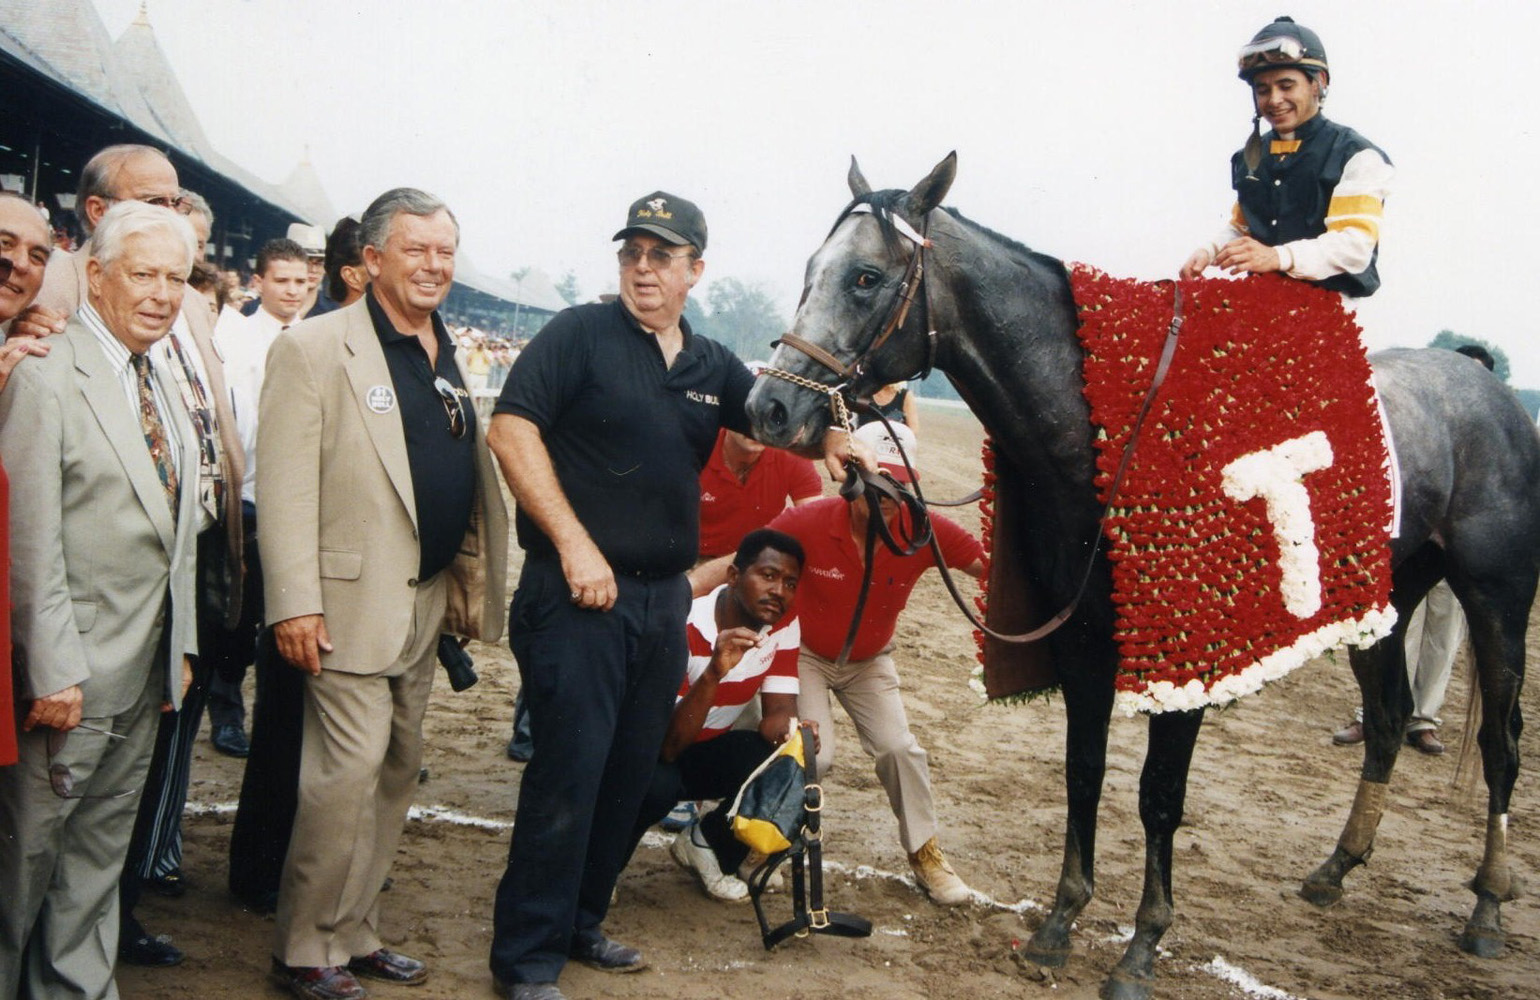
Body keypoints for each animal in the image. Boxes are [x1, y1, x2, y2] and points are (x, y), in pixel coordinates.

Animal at [748, 150, 1540, 998]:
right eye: (811, 269)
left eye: (865, 277)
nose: (769, 406)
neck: (1100, 439)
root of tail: (1490, 392)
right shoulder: (1081, 645)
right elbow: (1083, 773)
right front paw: (1060, 924)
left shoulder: (1182, 663)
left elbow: (1159, 796)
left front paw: (1141, 946)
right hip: (1380, 606)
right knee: (1387, 720)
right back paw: (1336, 867)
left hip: (1495, 598)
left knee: (1500, 742)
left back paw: (1488, 907)